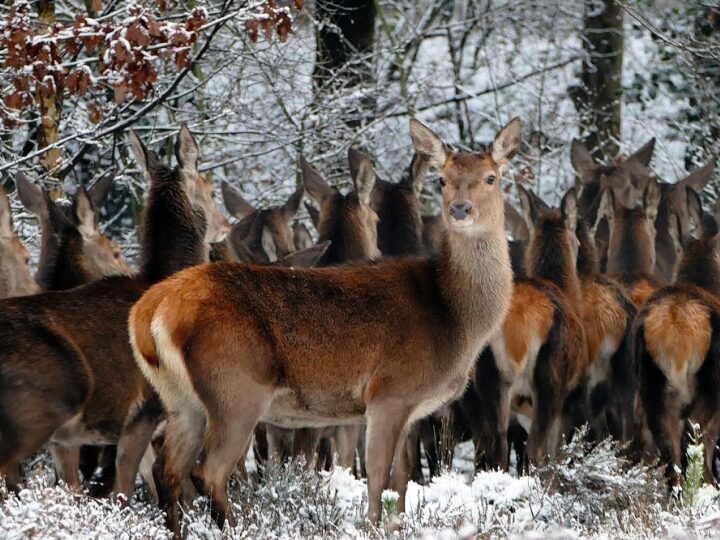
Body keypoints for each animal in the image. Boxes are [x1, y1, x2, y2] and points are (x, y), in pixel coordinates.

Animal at [0, 124, 229, 500]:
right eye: (211, 191)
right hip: (44, 402)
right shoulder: (144, 413)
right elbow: (126, 491)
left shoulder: (73, 440)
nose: (227, 224)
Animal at [129, 115, 520, 536]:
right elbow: (377, 478)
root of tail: (149, 309)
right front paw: (371, 528)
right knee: (208, 471)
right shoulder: (389, 391)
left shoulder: (409, 407)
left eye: (491, 177)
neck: (454, 318)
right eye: (442, 179)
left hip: (180, 399)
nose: (460, 209)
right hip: (236, 387)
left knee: (166, 470)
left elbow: (401, 481)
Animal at [484, 185, 592, 468]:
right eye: (577, 242)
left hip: (490, 380)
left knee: (496, 449)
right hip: (550, 381)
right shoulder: (572, 402)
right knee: (537, 451)